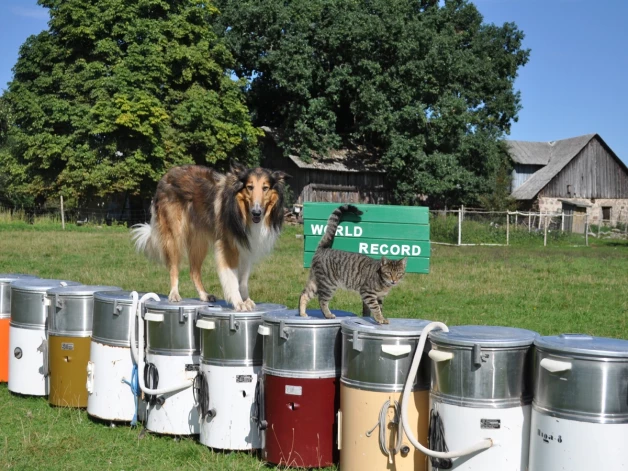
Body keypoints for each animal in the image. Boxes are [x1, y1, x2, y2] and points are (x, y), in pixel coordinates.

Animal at [134, 164, 290, 312]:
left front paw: (246, 300)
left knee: (194, 271)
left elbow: (243, 280)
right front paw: (239, 302)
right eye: (250, 187)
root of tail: (167, 175)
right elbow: (232, 278)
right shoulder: (228, 247)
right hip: (174, 235)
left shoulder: (245, 248)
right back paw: (174, 294)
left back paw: (204, 295)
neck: (240, 210)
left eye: (265, 188)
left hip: (199, 242)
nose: (256, 212)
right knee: (173, 267)